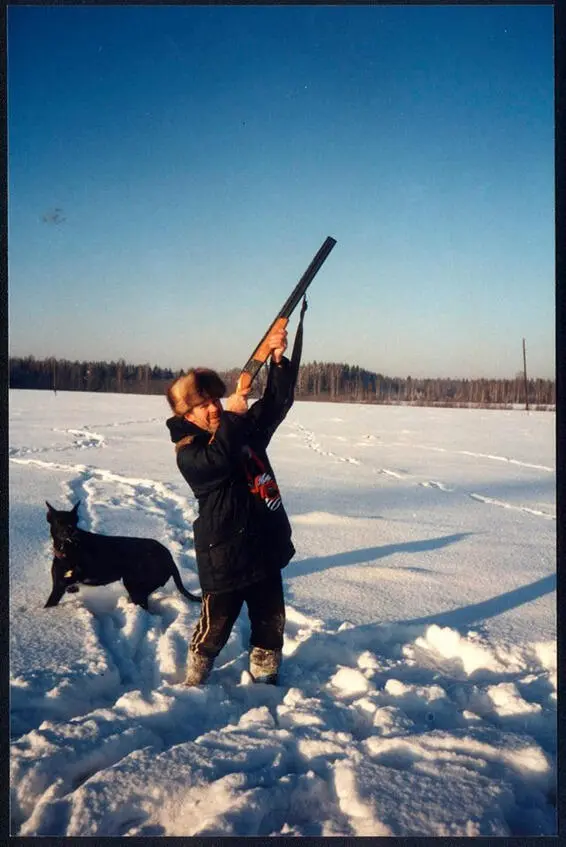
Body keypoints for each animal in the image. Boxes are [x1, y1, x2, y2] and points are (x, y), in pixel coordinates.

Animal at [46, 500, 202, 612]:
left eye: (74, 521)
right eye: (59, 521)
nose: (71, 531)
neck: (70, 548)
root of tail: (169, 558)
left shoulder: (58, 587)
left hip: (135, 587)